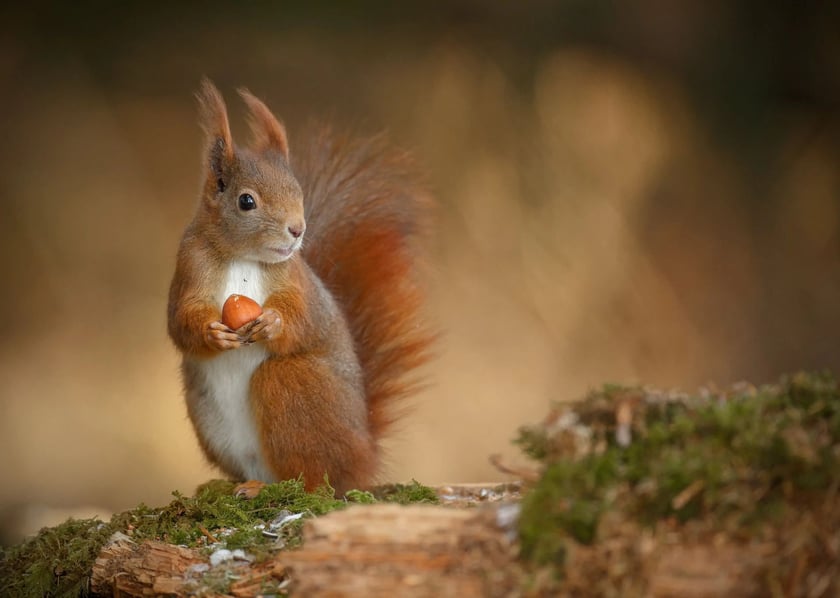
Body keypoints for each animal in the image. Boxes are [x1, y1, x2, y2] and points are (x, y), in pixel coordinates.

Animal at [168, 82, 436, 500]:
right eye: (246, 201)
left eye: (298, 192)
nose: (297, 230)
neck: (243, 257)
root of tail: (364, 458)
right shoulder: (189, 269)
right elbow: (181, 321)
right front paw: (212, 333)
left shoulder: (297, 282)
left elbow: (304, 318)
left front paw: (273, 324)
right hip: (209, 418)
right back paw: (242, 485)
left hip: (294, 385)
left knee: (312, 479)